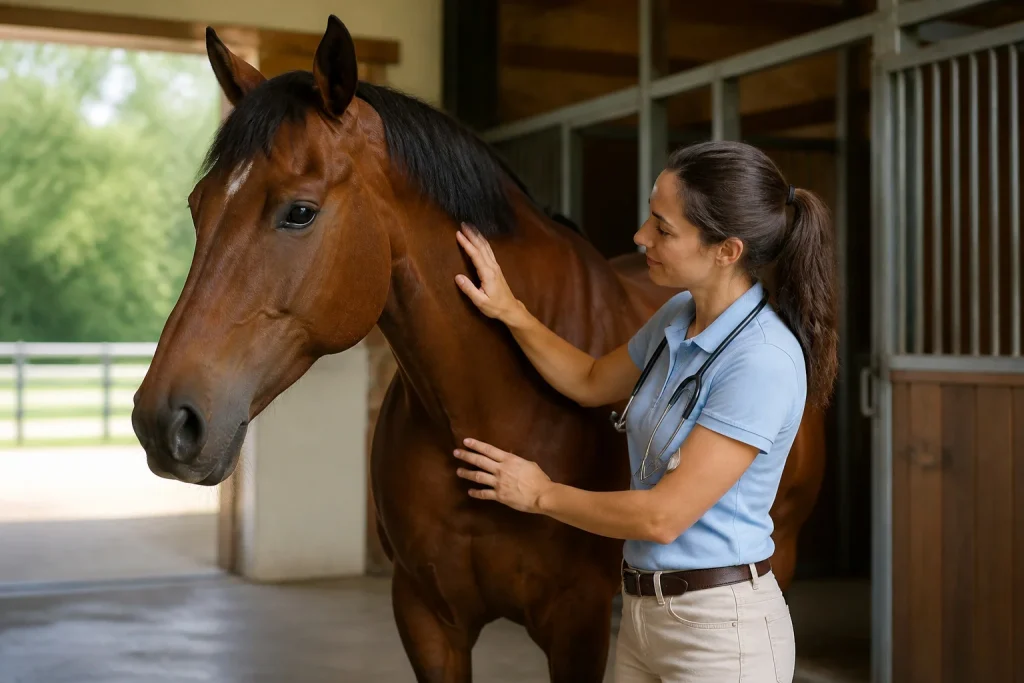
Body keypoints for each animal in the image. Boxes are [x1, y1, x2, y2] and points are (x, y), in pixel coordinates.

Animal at [131, 16, 826, 682]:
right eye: (197, 207)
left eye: (299, 212)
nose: (164, 422)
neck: (494, 403)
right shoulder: (426, 617)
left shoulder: (576, 625)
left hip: (784, 555)